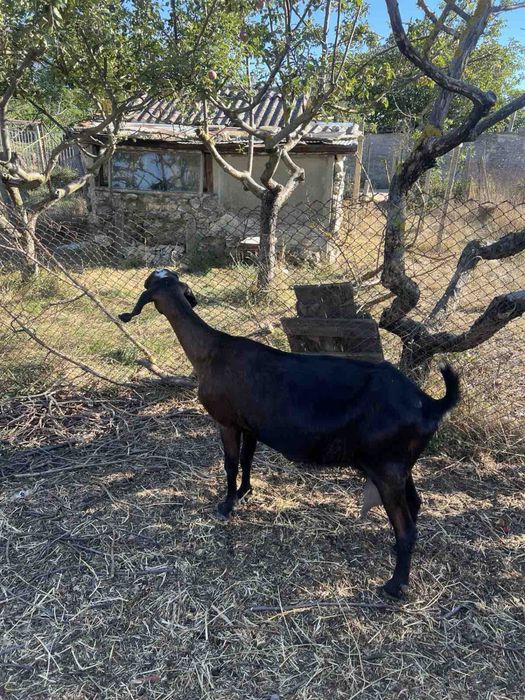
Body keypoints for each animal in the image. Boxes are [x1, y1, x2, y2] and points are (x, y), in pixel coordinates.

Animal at [119, 269, 460, 598]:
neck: (212, 351)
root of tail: (430, 404)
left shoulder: (227, 421)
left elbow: (230, 464)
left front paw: (226, 505)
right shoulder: (250, 425)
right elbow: (247, 459)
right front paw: (244, 492)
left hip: (386, 467)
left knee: (406, 528)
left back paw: (395, 586)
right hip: (400, 465)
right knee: (415, 504)